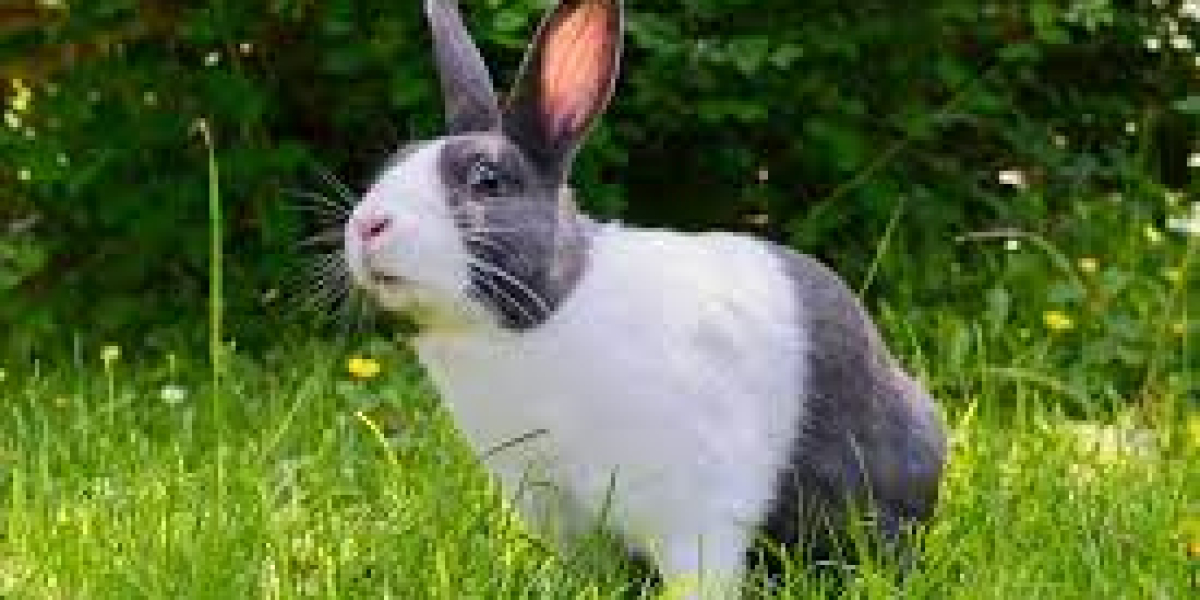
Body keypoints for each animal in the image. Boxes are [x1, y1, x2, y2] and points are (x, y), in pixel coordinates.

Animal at [343, 0, 947, 596]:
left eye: (486, 181)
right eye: (393, 160)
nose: (366, 225)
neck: (543, 317)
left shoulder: (695, 513)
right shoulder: (559, 509)